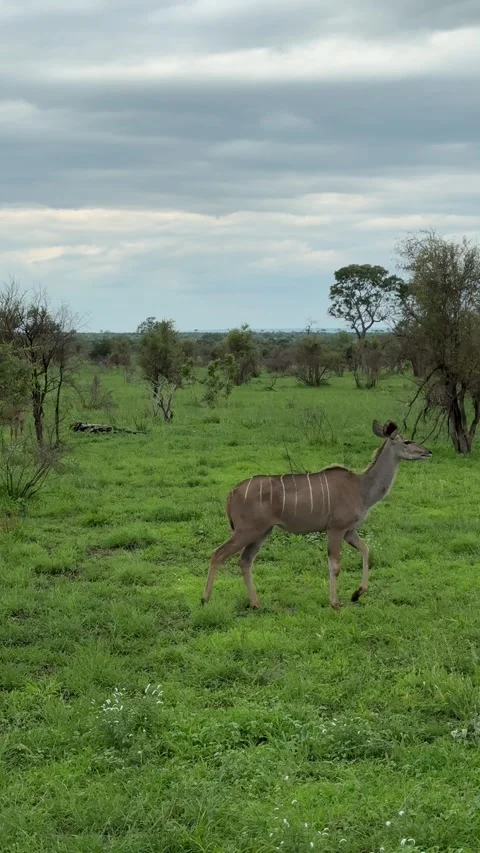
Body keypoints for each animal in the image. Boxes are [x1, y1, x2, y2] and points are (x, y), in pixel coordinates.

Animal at [201, 420, 432, 611]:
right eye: (407, 441)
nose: (428, 452)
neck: (361, 488)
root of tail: (232, 494)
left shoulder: (349, 531)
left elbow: (366, 550)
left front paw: (357, 594)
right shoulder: (336, 529)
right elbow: (335, 565)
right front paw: (335, 604)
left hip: (262, 532)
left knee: (245, 560)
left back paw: (256, 603)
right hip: (247, 530)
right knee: (218, 553)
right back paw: (205, 599)